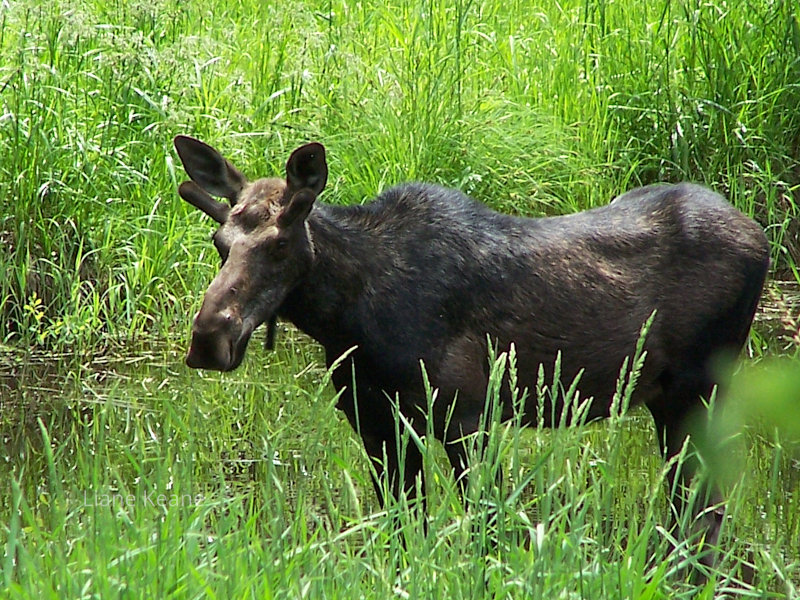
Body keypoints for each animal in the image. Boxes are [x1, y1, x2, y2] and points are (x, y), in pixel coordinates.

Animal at [173, 134, 768, 560]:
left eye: (278, 246)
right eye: (219, 242)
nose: (209, 337)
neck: (347, 320)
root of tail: (760, 235)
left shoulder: (468, 414)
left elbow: (489, 529)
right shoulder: (374, 421)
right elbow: (404, 529)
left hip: (701, 387)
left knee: (706, 512)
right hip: (672, 398)